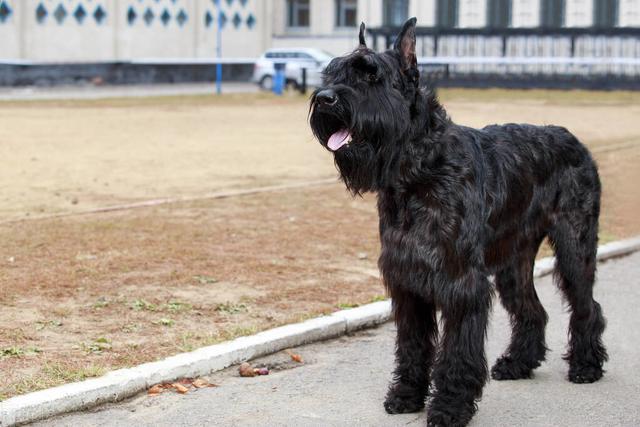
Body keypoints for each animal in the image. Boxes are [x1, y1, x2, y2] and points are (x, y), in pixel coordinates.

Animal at [308, 18, 608, 427]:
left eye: (372, 75)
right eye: (332, 73)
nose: (324, 98)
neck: (418, 170)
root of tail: (575, 140)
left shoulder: (460, 282)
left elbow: (455, 352)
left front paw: (449, 407)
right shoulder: (408, 280)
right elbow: (413, 345)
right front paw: (407, 395)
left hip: (575, 247)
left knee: (586, 306)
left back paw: (586, 366)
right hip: (513, 263)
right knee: (532, 310)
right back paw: (517, 363)